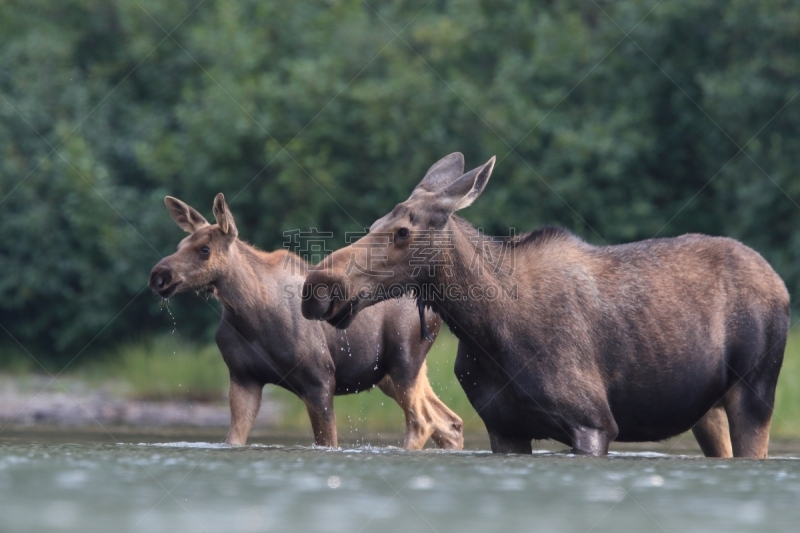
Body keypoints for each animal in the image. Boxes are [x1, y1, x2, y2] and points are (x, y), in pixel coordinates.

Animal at [148, 193, 462, 446]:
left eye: (205, 250)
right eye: (180, 243)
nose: (159, 275)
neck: (250, 315)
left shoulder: (319, 380)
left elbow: (328, 442)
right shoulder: (243, 378)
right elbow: (233, 440)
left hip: (404, 361)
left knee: (425, 422)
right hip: (392, 375)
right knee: (450, 423)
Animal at [304, 152, 792, 456]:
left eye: (403, 231)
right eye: (373, 223)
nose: (318, 286)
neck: (485, 329)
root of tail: (782, 286)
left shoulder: (593, 423)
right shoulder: (504, 429)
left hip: (755, 392)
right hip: (706, 411)